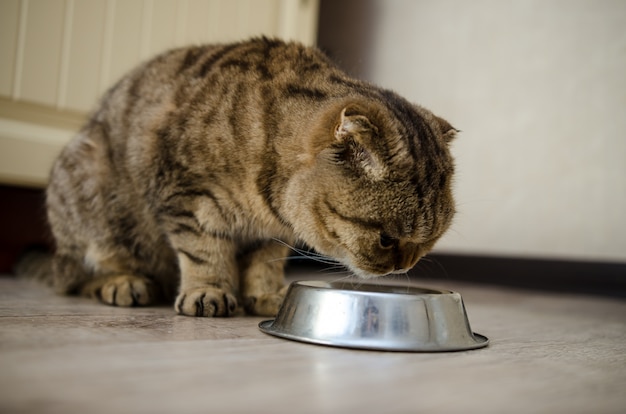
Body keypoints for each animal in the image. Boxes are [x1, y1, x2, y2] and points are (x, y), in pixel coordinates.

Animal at [44, 38, 456, 316]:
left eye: (428, 242)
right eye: (386, 239)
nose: (404, 267)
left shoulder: (273, 232)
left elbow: (264, 263)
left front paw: (265, 295)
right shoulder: (186, 197)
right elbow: (203, 251)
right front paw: (208, 291)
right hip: (90, 193)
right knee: (77, 276)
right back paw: (123, 283)